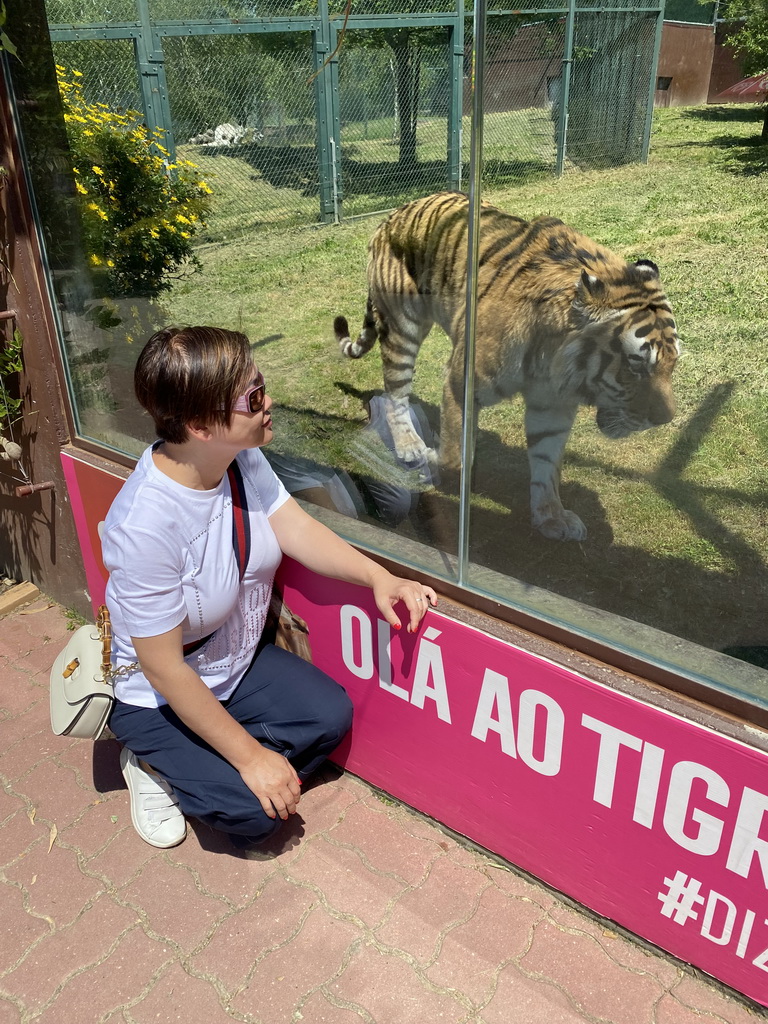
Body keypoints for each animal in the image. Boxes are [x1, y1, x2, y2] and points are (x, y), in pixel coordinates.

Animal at [333, 192, 684, 544]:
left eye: (673, 362)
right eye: (636, 365)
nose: (664, 419)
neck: (553, 361)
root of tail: (391, 216)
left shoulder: (553, 404)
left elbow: (546, 463)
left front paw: (551, 517)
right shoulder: (461, 383)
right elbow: (456, 456)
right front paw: (435, 462)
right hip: (402, 327)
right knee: (395, 392)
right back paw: (409, 445)